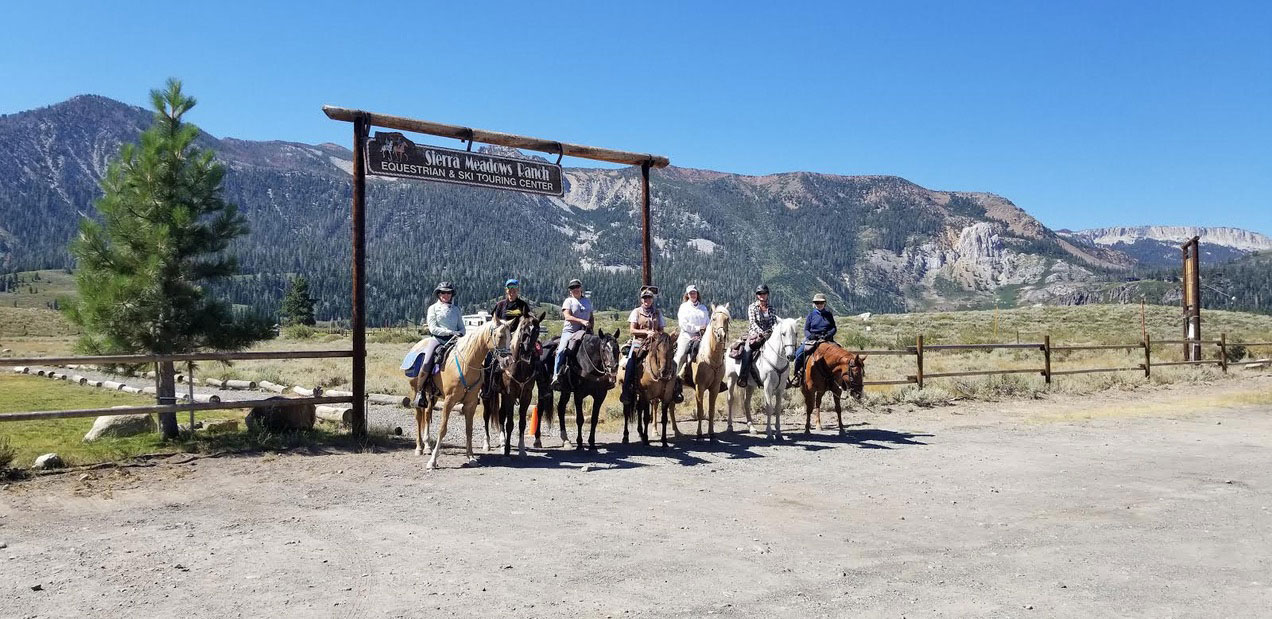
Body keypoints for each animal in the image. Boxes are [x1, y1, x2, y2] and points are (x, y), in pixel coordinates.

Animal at [401, 320, 511, 470]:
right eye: (500, 336)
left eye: (511, 336)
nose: (508, 361)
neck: (467, 364)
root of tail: (416, 347)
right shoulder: (449, 401)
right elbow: (442, 429)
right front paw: (432, 461)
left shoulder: (471, 404)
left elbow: (469, 430)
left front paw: (471, 457)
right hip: (415, 391)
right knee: (419, 417)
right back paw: (419, 448)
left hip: (432, 395)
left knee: (427, 414)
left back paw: (428, 446)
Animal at [686, 303, 737, 439]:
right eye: (713, 319)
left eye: (727, 319)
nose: (721, 335)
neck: (711, 358)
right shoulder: (700, 387)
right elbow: (700, 411)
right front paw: (699, 434)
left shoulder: (714, 387)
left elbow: (711, 411)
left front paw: (711, 433)